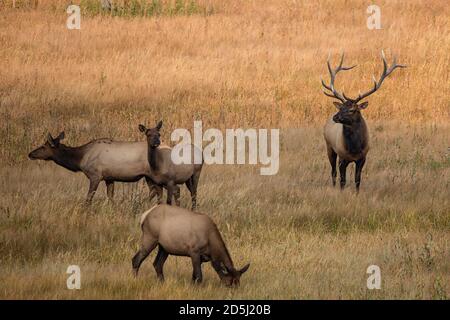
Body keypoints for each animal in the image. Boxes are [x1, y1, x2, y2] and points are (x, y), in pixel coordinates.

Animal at [28, 132, 162, 202]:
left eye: (43, 147)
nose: (30, 154)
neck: (80, 159)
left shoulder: (95, 176)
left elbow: (89, 198)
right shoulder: (109, 178)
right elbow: (110, 196)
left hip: (151, 175)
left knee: (156, 191)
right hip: (148, 176)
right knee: (155, 191)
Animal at [322, 50, 406, 190]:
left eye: (352, 110)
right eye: (342, 107)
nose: (335, 117)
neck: (354, 149)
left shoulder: (363, 157)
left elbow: (357, 180)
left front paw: (357, 193)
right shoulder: (342, 157)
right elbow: (343, 180)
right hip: (329, 147)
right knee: (333, 172)